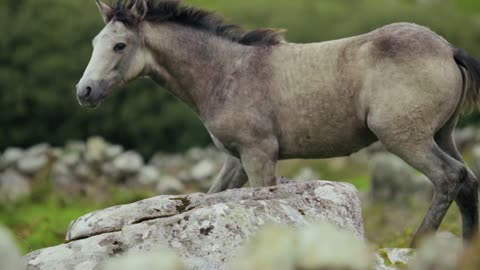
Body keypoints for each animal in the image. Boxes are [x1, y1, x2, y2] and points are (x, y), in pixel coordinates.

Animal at [78, 0, 480, 247]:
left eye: (119, 46)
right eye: (95, 42)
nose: (84, 91)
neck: (224, 72)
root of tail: (448, 49)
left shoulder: (259, 155)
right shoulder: (236, 159)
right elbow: (210, 197)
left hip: (405, 138)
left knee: (450, 176)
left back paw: (418, 244)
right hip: (441, 134)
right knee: (468, 182)